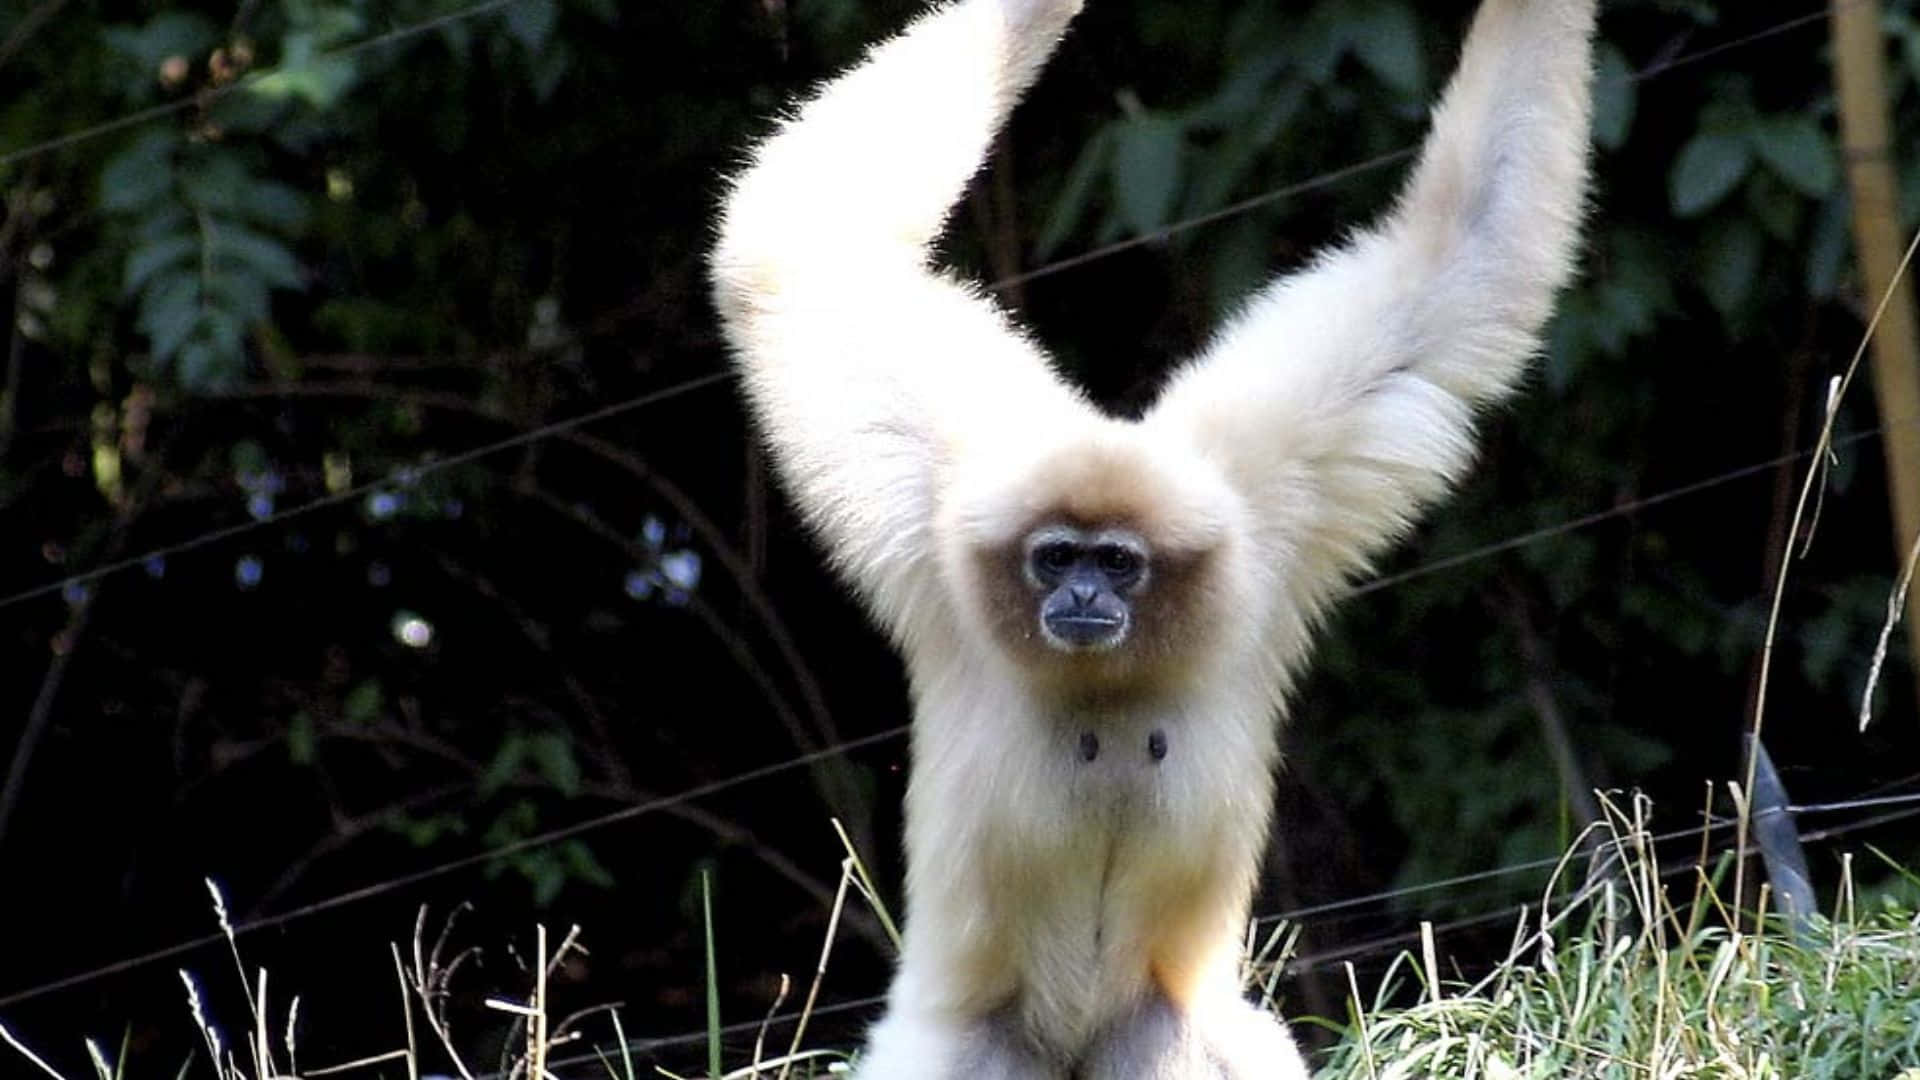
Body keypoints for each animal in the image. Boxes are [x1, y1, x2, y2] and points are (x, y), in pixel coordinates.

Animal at [708, 0, 1596, 1075]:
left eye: (1118, 564)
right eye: (1058, 555)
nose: (1081, 596)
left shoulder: (1264, 505)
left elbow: (1463, 261)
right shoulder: (946, 504)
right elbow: (798, 255)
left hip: (1161, 1023)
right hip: (962, 1040)